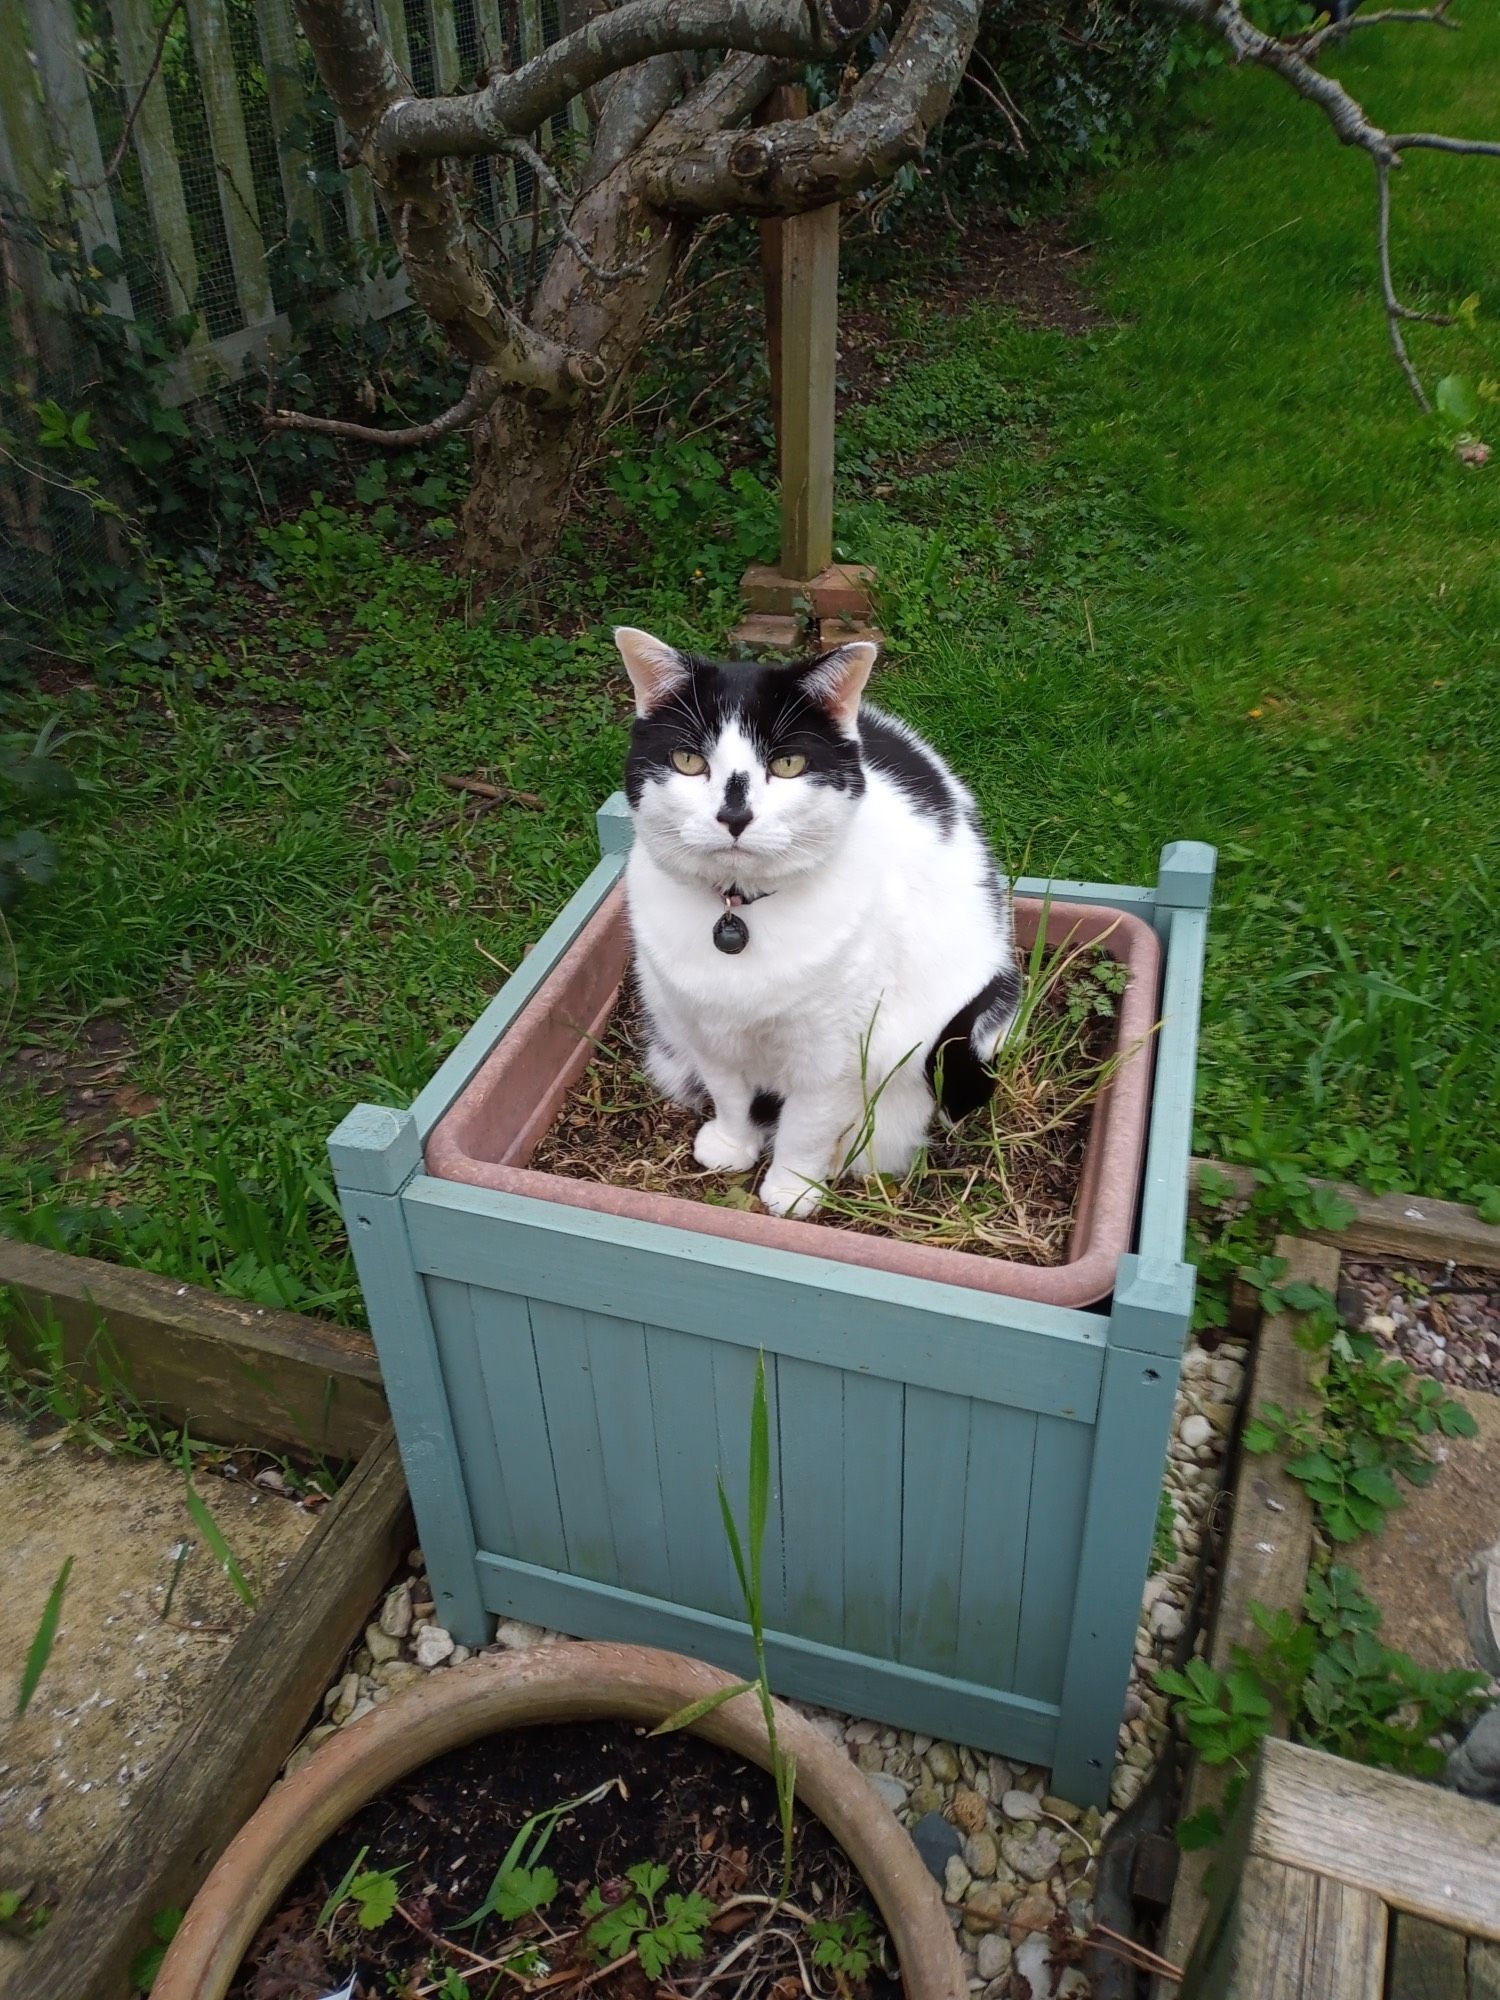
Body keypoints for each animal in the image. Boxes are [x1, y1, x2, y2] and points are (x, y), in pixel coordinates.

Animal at [612, 624, 1024, 1216]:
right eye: (688, 760)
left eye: (788, 765)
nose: (734, 816)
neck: (738, 913)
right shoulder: (707, 1032)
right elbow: (728, 1094)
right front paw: (733, 1145)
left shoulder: (833, 1054)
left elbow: (806, 1126)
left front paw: (792, 1188)